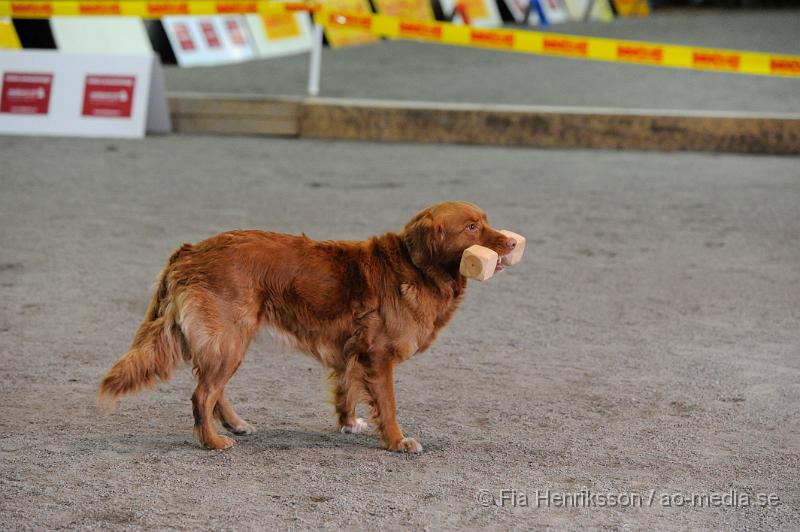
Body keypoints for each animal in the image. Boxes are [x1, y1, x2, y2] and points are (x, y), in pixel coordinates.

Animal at [97, 202, 516, 450]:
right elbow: (389, 405)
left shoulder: (353, 351)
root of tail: (189, 251)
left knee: (212, 389)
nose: (512, 243)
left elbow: (346, 390)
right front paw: (397, 442)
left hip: (228, 339)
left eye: (487, 222)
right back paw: (213, 442)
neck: (416, 268)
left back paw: (234, 425)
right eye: (472, 227)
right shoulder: (378, 356)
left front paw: (349, 424)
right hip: (230, 337)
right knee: (203, 394)